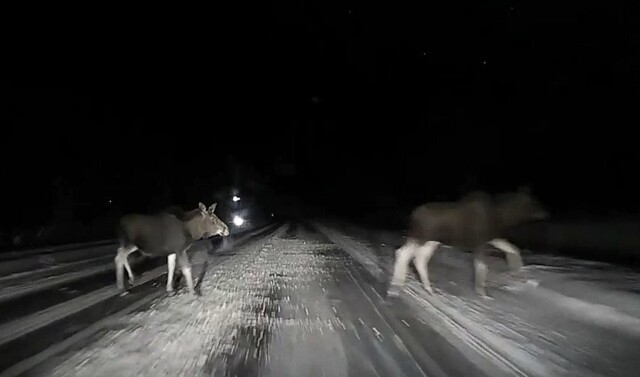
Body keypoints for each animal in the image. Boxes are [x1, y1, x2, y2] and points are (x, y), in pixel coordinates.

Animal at [388, 187, 548, 296]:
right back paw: (397, 285)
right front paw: (482, 292)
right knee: (403, 253)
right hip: (420, 237)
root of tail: (413, 216)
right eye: (534, 201)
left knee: (419, 258)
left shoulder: (492, 237)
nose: (546, 213)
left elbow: (513, 248)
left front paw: (517, 267)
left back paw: (427, 288)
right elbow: (482, 266)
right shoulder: (480, 242)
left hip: (431, 241)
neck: (503, 217)